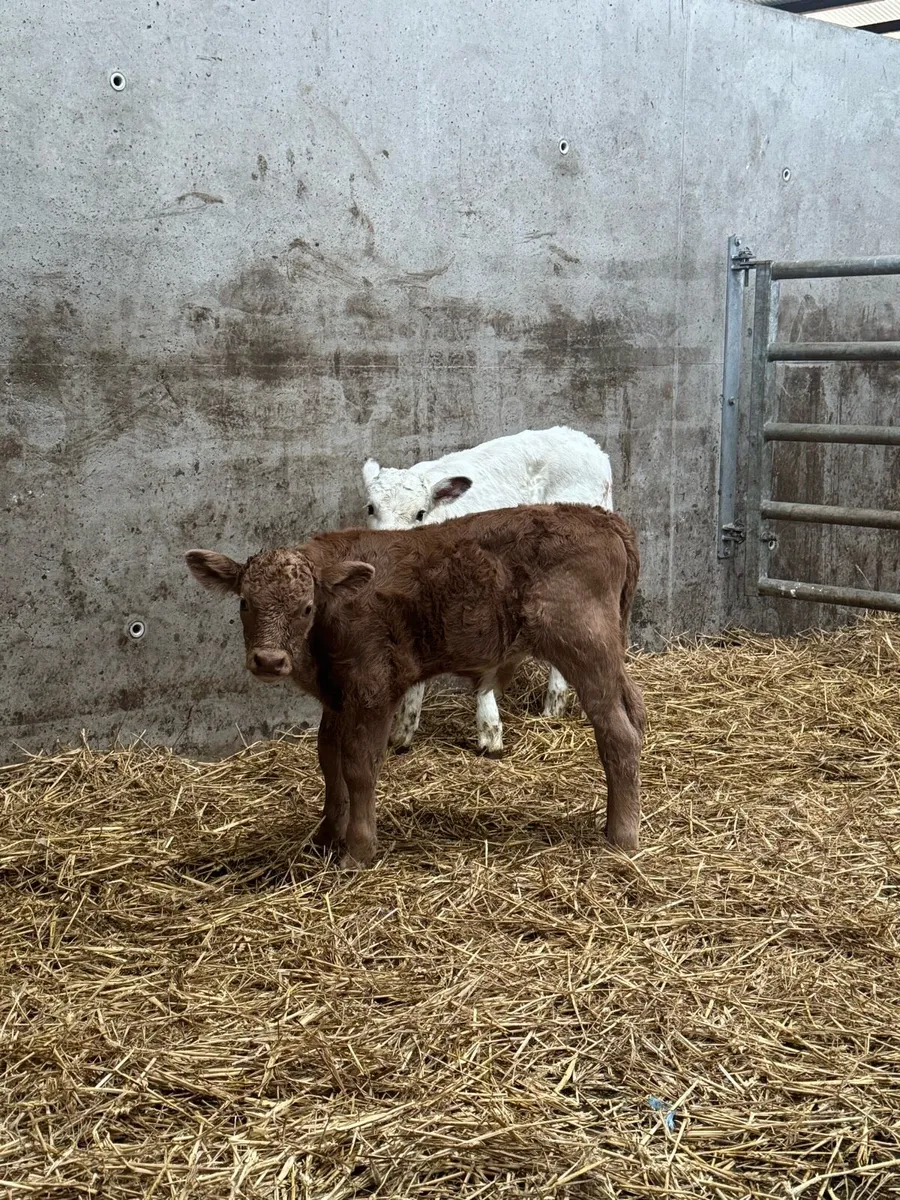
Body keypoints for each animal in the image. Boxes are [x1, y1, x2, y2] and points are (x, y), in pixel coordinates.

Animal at [185, 503, 645, 869]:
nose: (268, 661)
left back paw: (621, 836)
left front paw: (358, 850)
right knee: (635, 713)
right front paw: (325, 837)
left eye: (306, 607)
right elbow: (329, 760)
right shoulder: (336, 697)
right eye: (244, 602)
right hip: (608, 658)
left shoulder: (372, 690)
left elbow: (359, 766)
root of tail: (599, 516)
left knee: (619, 735)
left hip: (585, 649)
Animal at [362, 426, 615, 757]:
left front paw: (490, 733)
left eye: (420, 513)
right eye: (371, 508)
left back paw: (558, 702)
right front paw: (402, 732)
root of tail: (587, 442)